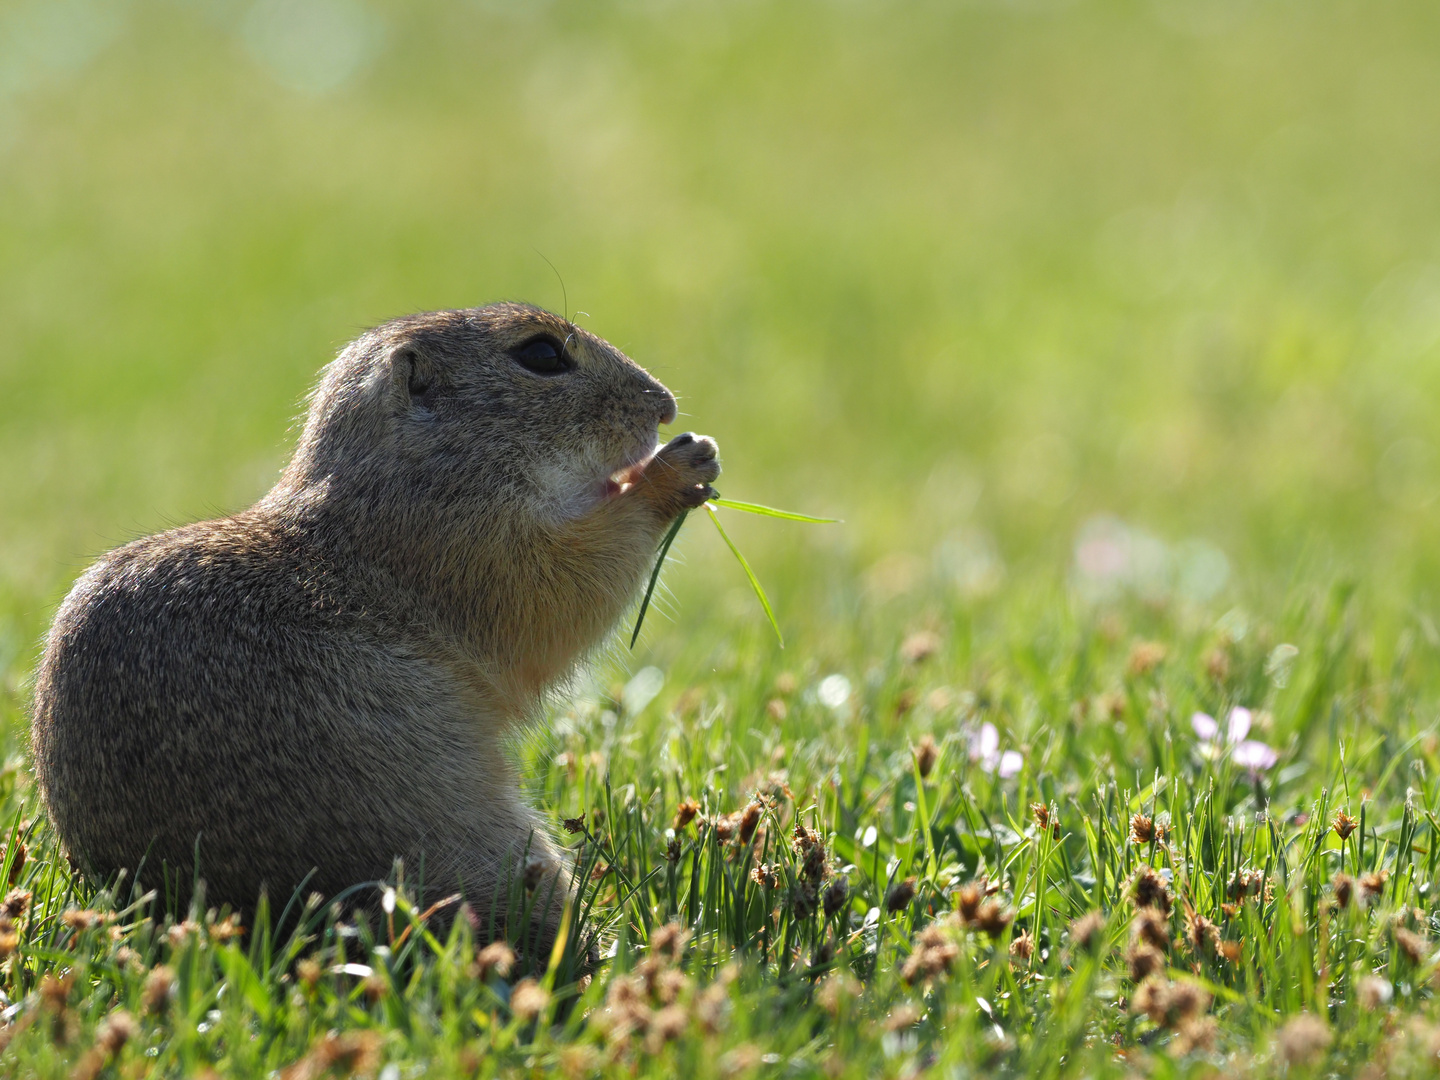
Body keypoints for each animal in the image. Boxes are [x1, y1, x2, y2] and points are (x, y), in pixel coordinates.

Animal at [28, 305, 714, 944]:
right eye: (543, 354)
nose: (665, 407)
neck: (406, 474)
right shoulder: (469, 543)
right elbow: (563, 587)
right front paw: (673, 470)